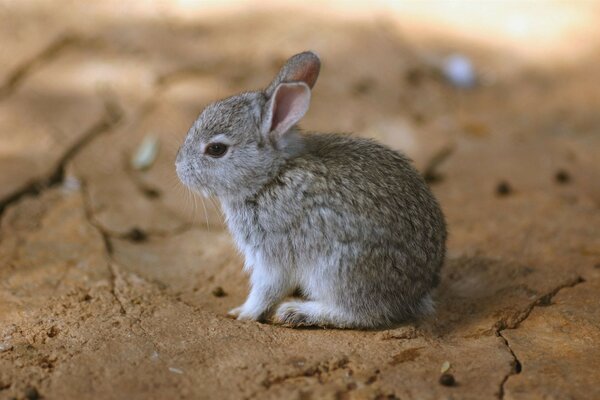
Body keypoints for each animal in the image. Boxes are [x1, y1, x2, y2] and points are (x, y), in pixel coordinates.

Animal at [173, 51, 446, 330]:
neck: (270, 176)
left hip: (337, 269)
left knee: (361, 313)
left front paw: (243, 314)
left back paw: (296, 312)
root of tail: (417, 291)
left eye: (216, 149)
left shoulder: (273, 253)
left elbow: (266, 289)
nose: (179, 167)